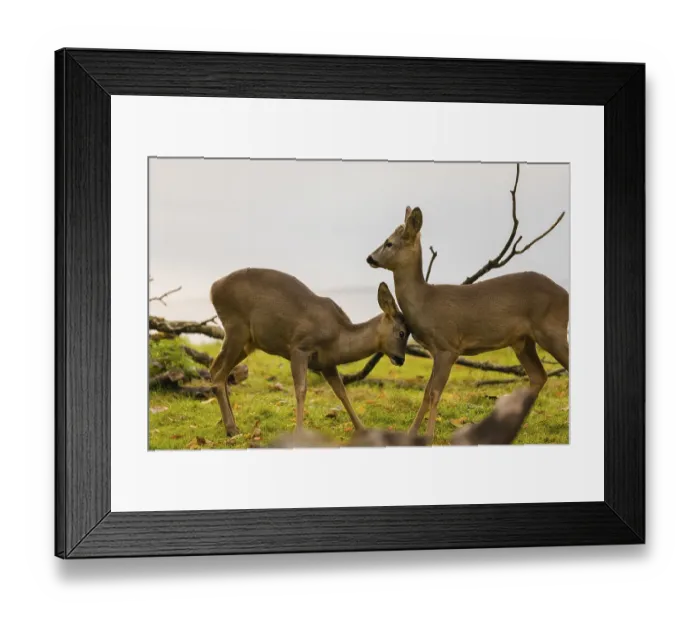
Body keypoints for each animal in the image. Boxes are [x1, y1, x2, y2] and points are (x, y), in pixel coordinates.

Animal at [208, 268, 410, 437]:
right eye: (401, 333)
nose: (400, 359)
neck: (338, 338)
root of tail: (213, 289)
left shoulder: (327, 363)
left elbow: (341, 391)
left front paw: (362, 429)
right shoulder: (299, 347)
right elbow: (301, 389)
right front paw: (298, 431)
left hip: (248, 342)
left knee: (215, 370)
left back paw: (231, 426)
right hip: (236, 328)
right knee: (218, 376)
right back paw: (232, 429)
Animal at [367, 206, 569, 441]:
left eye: (389, 242)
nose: (369, 258)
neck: (424, 301)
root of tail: (566, 294)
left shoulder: (448, 346)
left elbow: (434, 392)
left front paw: (429, 437)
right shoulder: (435, 351)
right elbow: (426, 392)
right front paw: (411, 434)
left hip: (551, 330)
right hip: (523, 341)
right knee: (539, 376)